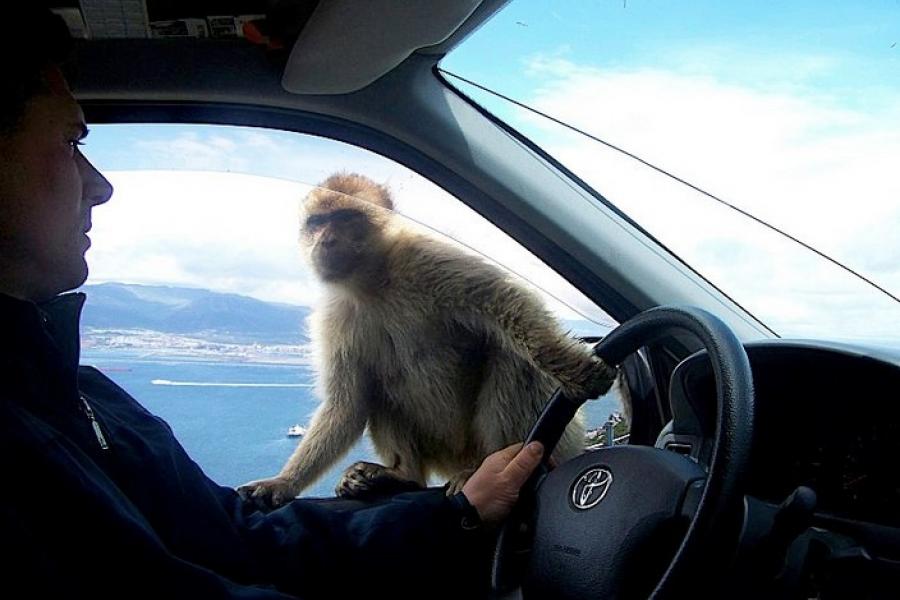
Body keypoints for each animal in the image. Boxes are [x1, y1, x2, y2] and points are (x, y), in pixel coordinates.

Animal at [236, 172, 624, 506]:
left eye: (346, 217)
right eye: (317, 222)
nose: (325, 239)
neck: (372, 283)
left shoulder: (424, 257)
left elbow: (506, 303)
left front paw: (574, 368)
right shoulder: (335, 318)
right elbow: (348, 403)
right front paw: (284, 482)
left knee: (511, 358)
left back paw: (489, 467)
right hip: (437, 449)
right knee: (379, 389)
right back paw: (403, 474)